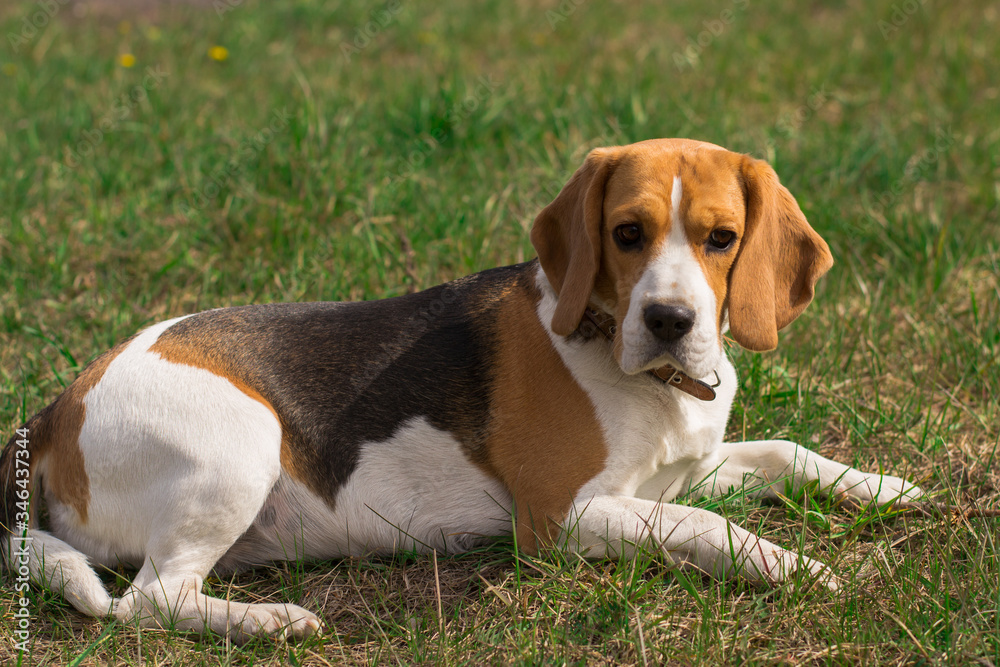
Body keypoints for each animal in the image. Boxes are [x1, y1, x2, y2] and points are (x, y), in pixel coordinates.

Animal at [0, 137, 920, 640]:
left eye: (722, 238)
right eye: (627, 233)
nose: (669, 319)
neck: (647, 378)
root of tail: (55, 407)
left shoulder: (681, 471)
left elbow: (784, 453)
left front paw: (882, 486)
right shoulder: (564, 517)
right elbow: (704, 525)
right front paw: (793, 564)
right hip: (240, 442)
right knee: (149, 601)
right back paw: (270, 623)